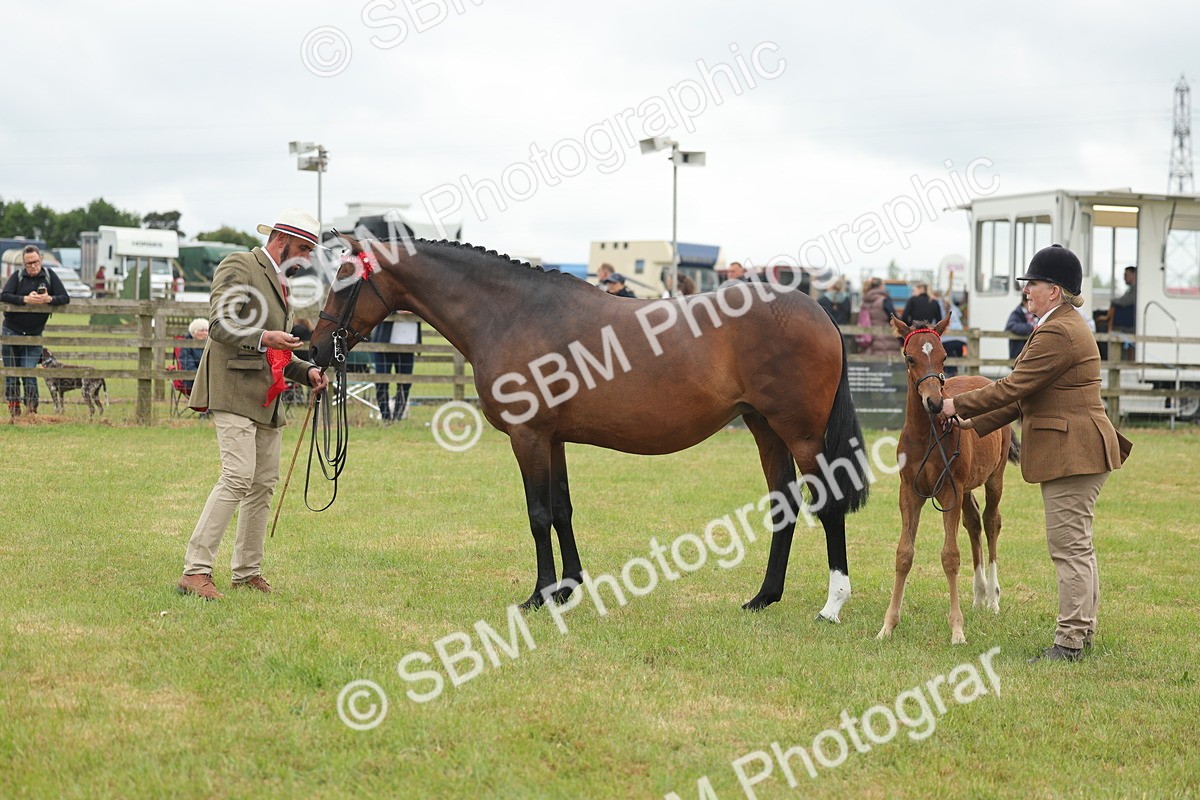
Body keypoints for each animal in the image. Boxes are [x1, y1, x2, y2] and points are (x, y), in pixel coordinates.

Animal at [309, 236, 870, 621]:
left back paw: (831, 604)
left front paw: (538, 595)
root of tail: (819, 310)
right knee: (785, 505)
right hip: (764, 429)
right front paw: (568, 587)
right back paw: (762, 597)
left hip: (799, 434)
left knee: (828, 504)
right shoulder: (552, 439)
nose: (313, 350)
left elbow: (538, 515)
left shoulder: (528, 437)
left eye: (343, 283)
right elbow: (562, 510)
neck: (512, 314)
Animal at [877, 316, 1020, 644]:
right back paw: (979, 595)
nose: (935, 403)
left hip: (994, 478)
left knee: (991, 522)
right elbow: (904, 554)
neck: (925, 435)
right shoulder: (909, 492)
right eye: (910, 358)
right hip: (965, 487)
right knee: (974, 522)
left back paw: (993, 598)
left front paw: (957, 629)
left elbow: (950, 556)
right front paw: (888, 626)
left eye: (944, 357)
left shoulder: (948, 493)